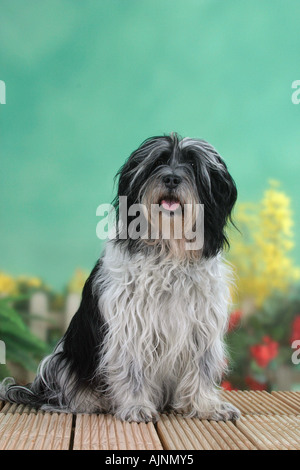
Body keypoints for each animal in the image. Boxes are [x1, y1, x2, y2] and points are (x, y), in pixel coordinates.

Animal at [0, 133, 239, 422]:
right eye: (157, 163)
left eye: (193, 165)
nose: (171, 179)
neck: (169, 250)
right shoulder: (131, 324)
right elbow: (132, 369)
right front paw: (136, 406)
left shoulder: (201, 326)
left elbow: (201, 369)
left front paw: (206, 405)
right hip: (62, 360)